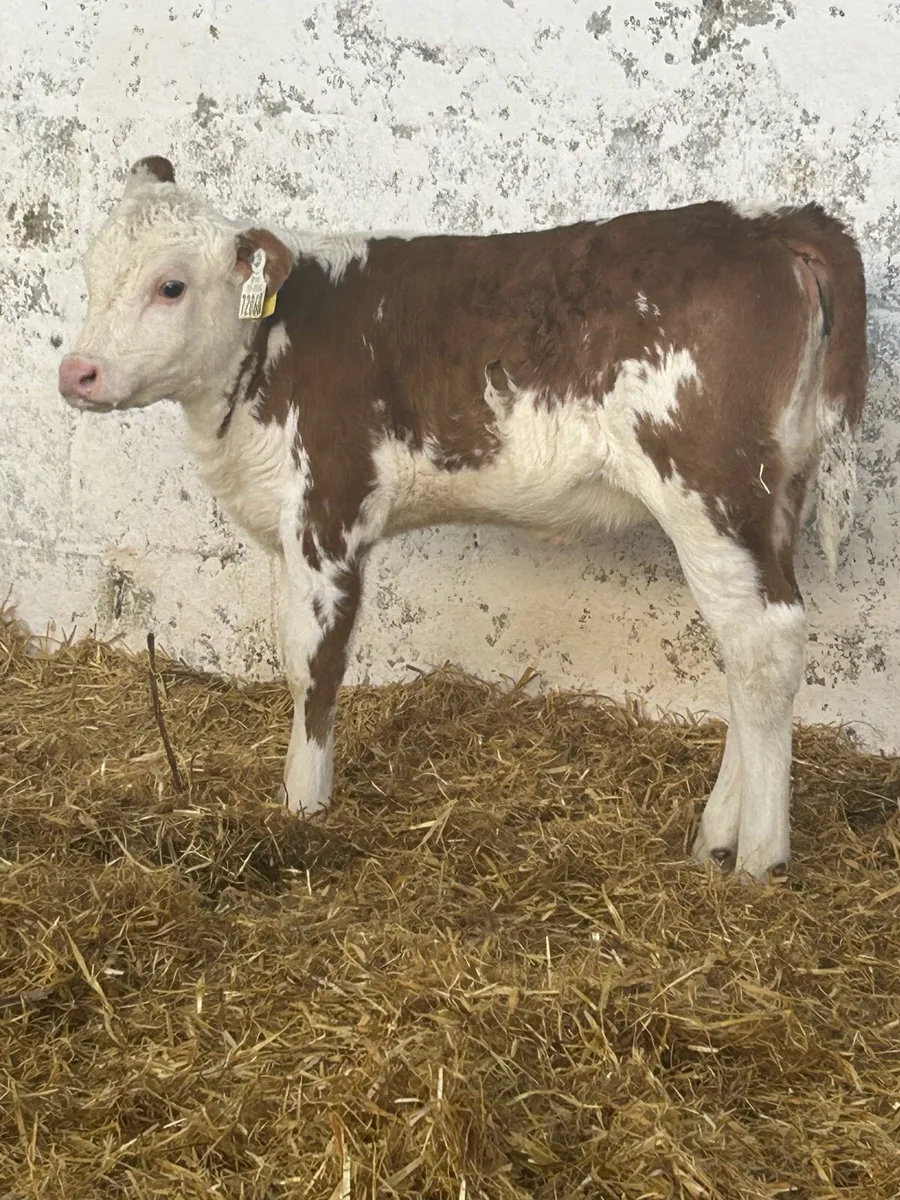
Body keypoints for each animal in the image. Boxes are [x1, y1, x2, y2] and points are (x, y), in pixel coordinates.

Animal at [58, 156, 869, 882]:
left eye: (171, 285)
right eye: (91, 274)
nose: (77, 372)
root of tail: (767, 221)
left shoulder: (330, 510)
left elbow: (315, 667)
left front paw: (302, 810)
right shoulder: (285, 531)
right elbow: (292, 654)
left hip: (710, 485)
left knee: (764, 644)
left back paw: (759, 857)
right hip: (773, 494)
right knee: (746, 650)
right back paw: (716, 838)